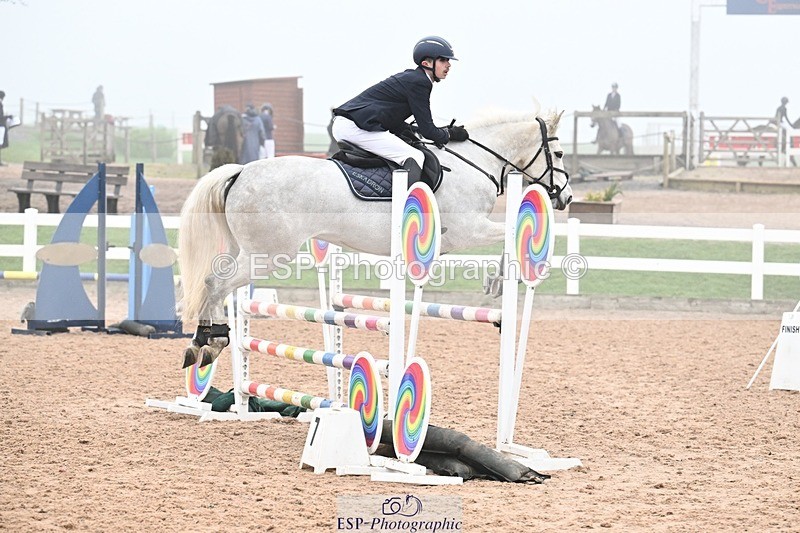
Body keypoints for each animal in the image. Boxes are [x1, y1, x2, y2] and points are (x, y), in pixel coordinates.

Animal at [179, 107, 573, 368]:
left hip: (245, 250)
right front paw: (498, 280)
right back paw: (211, 342)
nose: (566, 197)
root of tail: (240, 172)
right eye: (559, 153)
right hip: (270, 254)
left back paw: (206, 341)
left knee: (214, 281)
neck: (472, 163)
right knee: (216, 283)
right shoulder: (468, 229)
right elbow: (509, 235)